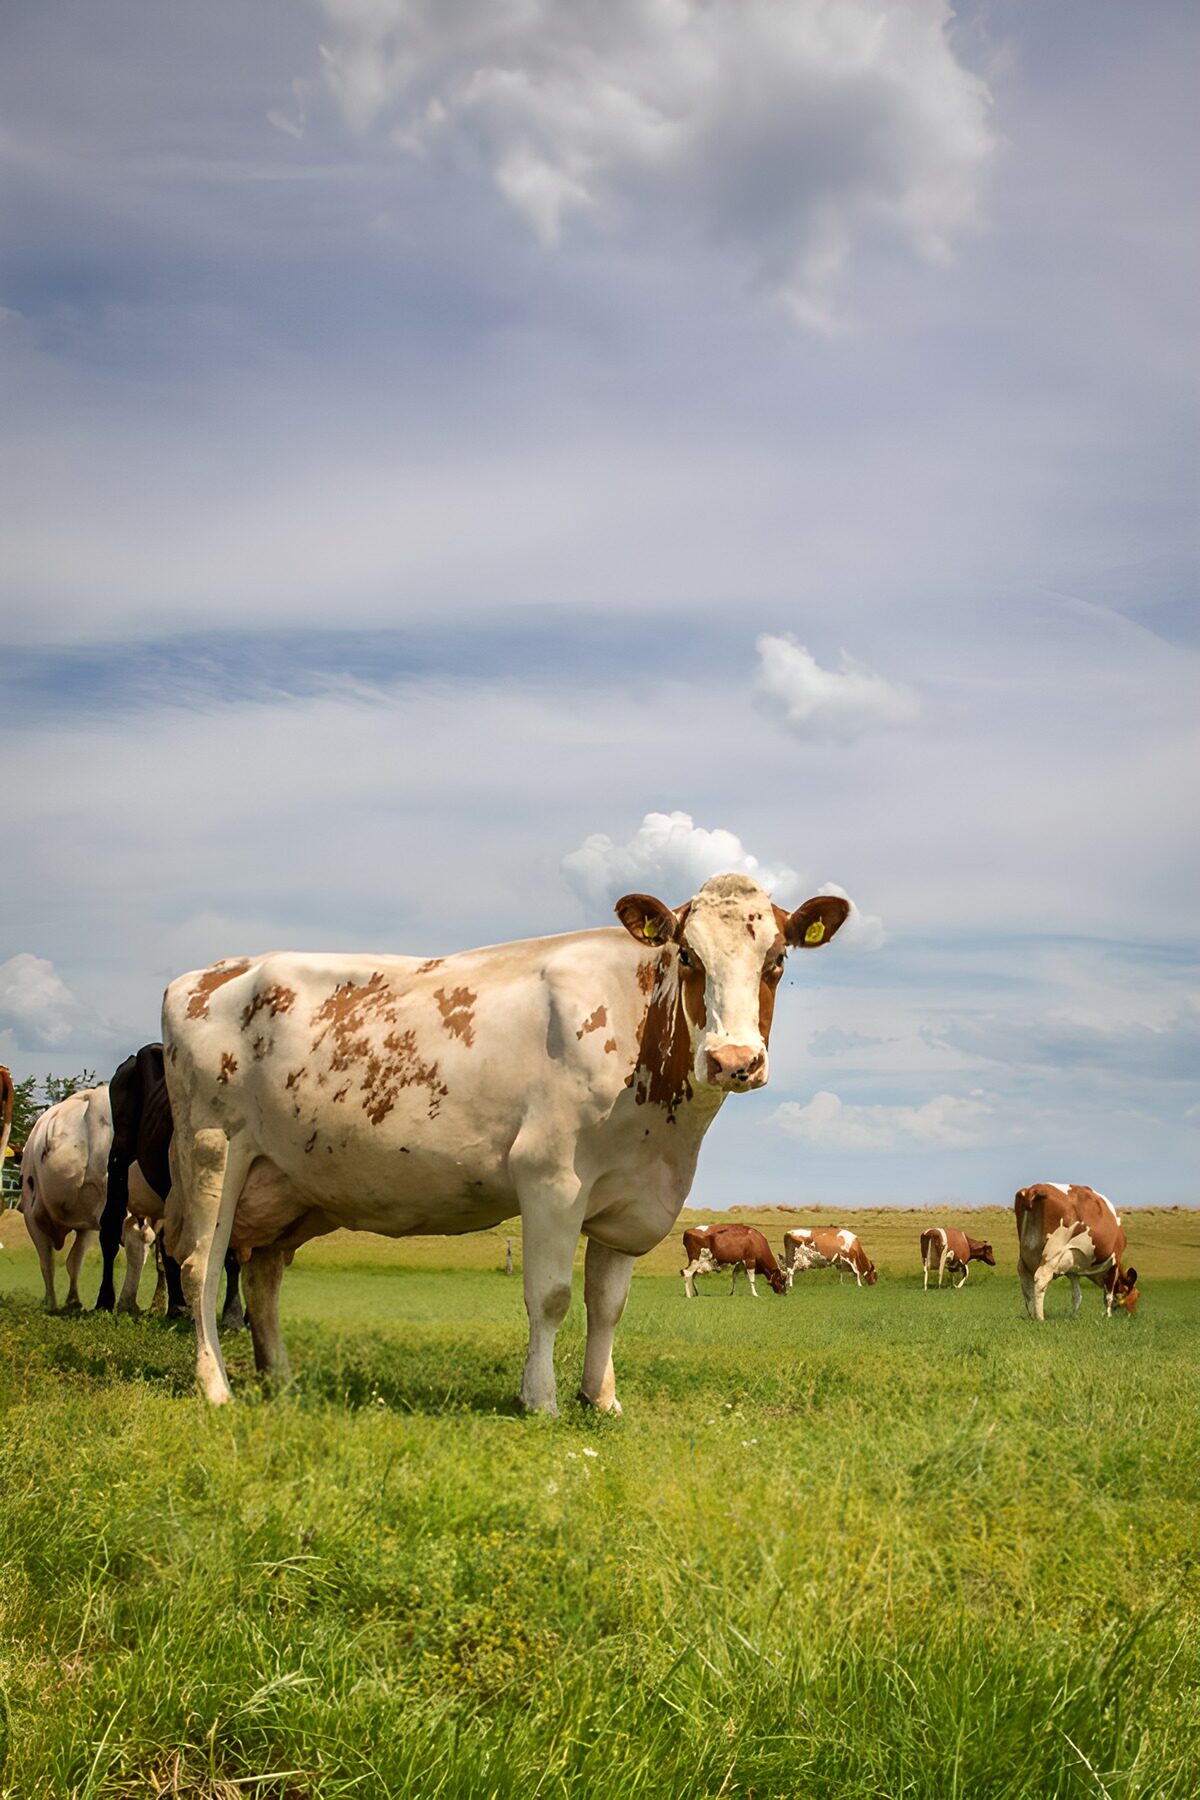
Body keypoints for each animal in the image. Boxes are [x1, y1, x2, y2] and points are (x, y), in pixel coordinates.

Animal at [19, 1086, 153, 1312]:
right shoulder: (86, 1222)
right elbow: (72, 1262)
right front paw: (71, 1300)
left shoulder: (32, 1215)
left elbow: (48, 1263)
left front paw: (53, 1302)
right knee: (140, 1238)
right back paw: (128, 1302)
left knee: (133, 1239)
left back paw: (121, 1301)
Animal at [96, 1043, 243, 1328]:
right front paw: (233, 1316)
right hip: (119, 1154)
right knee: (110, 1227)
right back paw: (104, 1299)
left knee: (168, 1243)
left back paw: (177, 1305)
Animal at [161, 872, 851, 1410]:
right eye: (688, 956)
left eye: (777, 961)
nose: (734, 1060)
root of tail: (209, 973)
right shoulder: (552, 1179)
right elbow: (550, 1297)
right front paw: (540, 1399)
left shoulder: (630, 1200)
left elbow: (608, 1304)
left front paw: (601, 1398)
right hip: (213, 1153)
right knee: (200, 1268)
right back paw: (216, 1388)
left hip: (289, 1184)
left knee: (264, 1275)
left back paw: (282, 1382)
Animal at [1015, 1183, 1139, 1320]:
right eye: (1135, 1296)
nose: (1133, 1314)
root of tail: (1034, 1188)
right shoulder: (1114, 1262)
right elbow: (1109, 1296)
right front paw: (1108, 1316)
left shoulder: (1073, 1271)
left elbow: (1077, 1296)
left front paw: (1072, 1316)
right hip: (1052, 1253)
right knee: (1040, 1278)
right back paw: (1040, 1318)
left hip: (1025, 1254)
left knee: (1026, 1279)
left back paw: (1032, 1315)